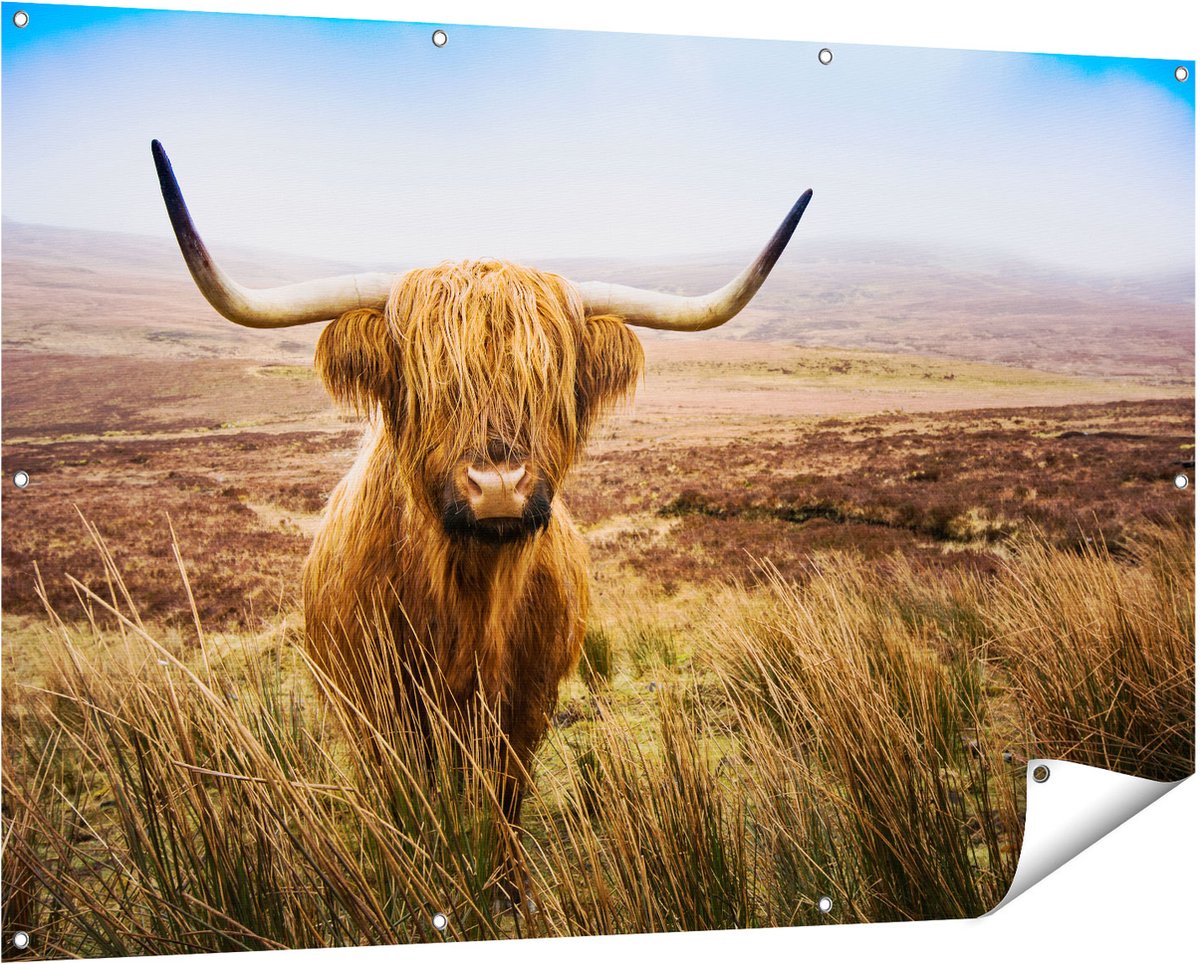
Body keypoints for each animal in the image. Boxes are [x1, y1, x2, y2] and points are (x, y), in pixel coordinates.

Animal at [151, 139, 811, 902]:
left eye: (549, 380)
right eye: (430, 382)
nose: (499, 484)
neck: (469, 599)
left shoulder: (528, 704)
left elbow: (504, 794)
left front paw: (505, 883)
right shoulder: (380, 710)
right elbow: (406, 800)